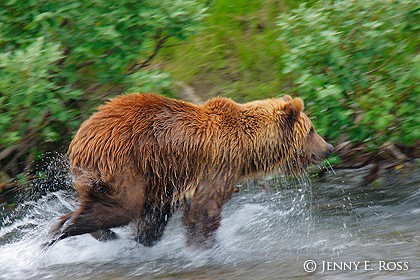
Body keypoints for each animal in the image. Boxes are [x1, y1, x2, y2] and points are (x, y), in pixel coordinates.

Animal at [50, 93, 332, 247]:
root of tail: (79, 136)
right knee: (122, 206)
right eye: (311, 130)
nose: (328, 148)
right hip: (121, 163)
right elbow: (204, 211)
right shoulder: (219, 163)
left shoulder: (167, 180)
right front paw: (205, 247)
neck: (247, 149)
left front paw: (141, 242)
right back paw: (64, 228)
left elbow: (155, 219)